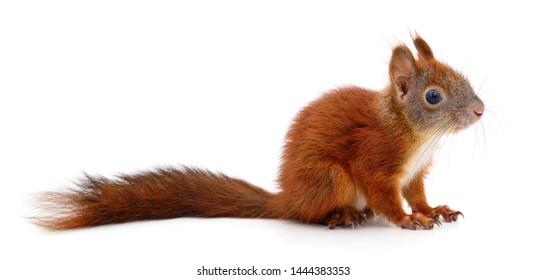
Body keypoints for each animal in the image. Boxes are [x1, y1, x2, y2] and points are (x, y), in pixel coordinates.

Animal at [30, 35, 480, 231]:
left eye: (463, 78)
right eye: (433, 96)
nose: (480, 110)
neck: (413, 134)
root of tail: (287, 199)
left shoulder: (415, 173)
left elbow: (417, 193)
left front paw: (433, 210)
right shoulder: (375, 158)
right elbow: (386, 195)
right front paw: (407, 219)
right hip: (329, 178)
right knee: (311, 215)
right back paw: (342, 214)